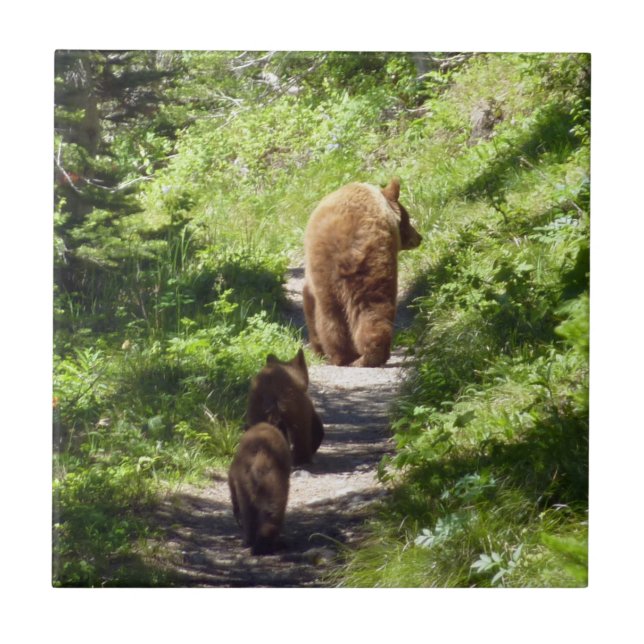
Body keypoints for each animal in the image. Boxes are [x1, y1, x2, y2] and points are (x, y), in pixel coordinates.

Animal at [303, 177, 422, 367]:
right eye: (408, 218)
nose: (419, 237)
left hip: (332, 271)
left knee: (332, 315)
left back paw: (343, 356)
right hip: (370, 266)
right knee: (372, 308)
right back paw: (368, 355)